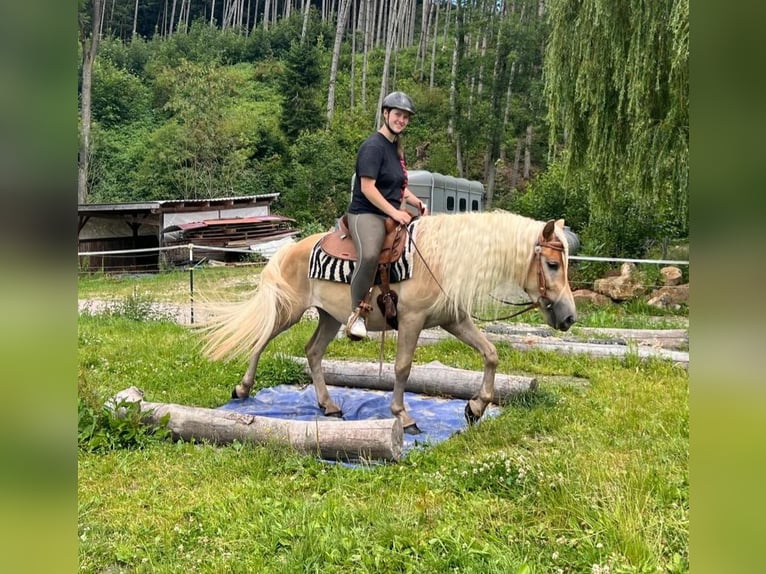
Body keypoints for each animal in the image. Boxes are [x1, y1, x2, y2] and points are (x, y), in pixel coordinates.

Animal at [201, 213, 580, 436]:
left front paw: (475, 408)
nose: (569, 317)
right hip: (289, 309)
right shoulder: (412, 321)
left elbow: (491, 354)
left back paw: (329, 406)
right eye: (551, 264)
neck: (440, 259)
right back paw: (242, 389)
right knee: (261, 339)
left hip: (330, 317)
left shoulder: (454, 320)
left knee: (312, 352)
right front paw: (403, 416)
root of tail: (290, 250)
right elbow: (402, 367)